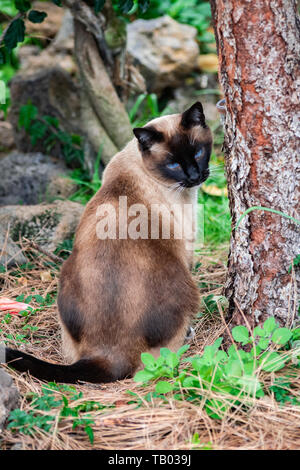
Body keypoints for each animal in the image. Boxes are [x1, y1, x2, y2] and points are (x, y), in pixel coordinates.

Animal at [2, 102, 213, 382]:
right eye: (173, 164)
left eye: (198, 152)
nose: (194, 176)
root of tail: (108, 354)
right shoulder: (186, 246)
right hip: (186, 286)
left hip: (65, 279)